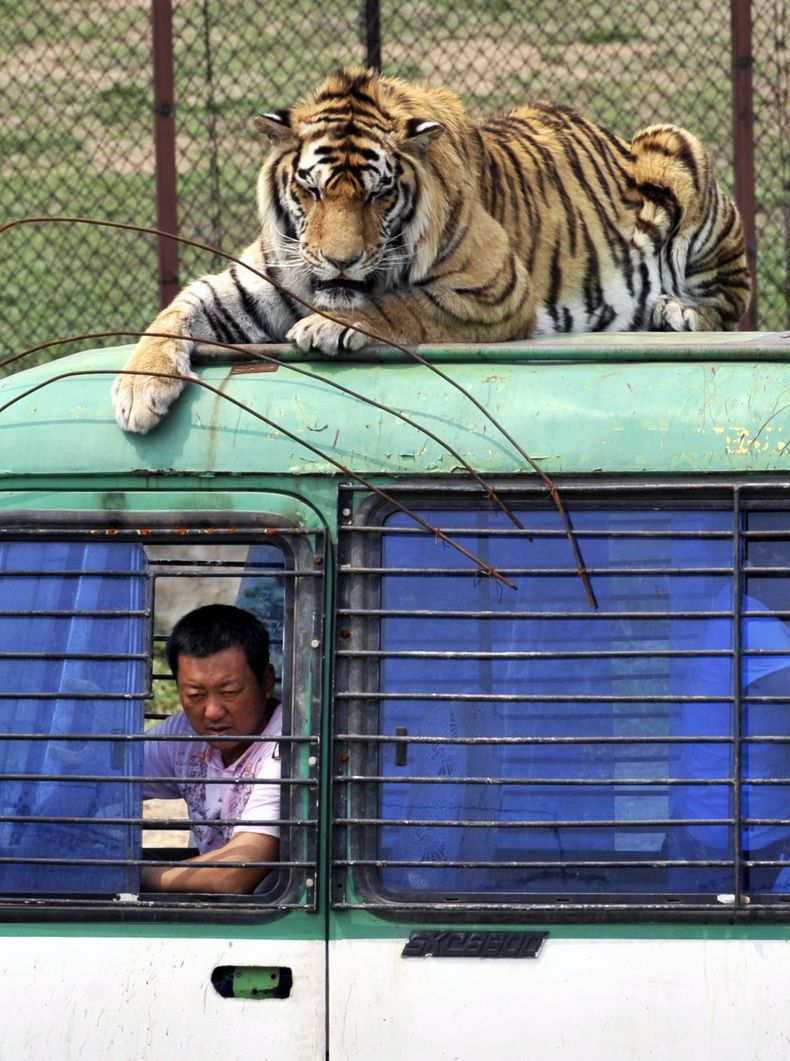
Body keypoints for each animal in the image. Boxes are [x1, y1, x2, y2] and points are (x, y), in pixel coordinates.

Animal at [112, 66, 751, 434]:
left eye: (379, 193)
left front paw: (327, 324)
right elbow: (175, 311)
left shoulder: (494, 288)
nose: (341, 261)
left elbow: (401, 306)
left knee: (731, 299)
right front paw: (138, 391)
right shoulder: (250, 283)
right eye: (311, 190)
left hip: (677, 150)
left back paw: (677, 313)